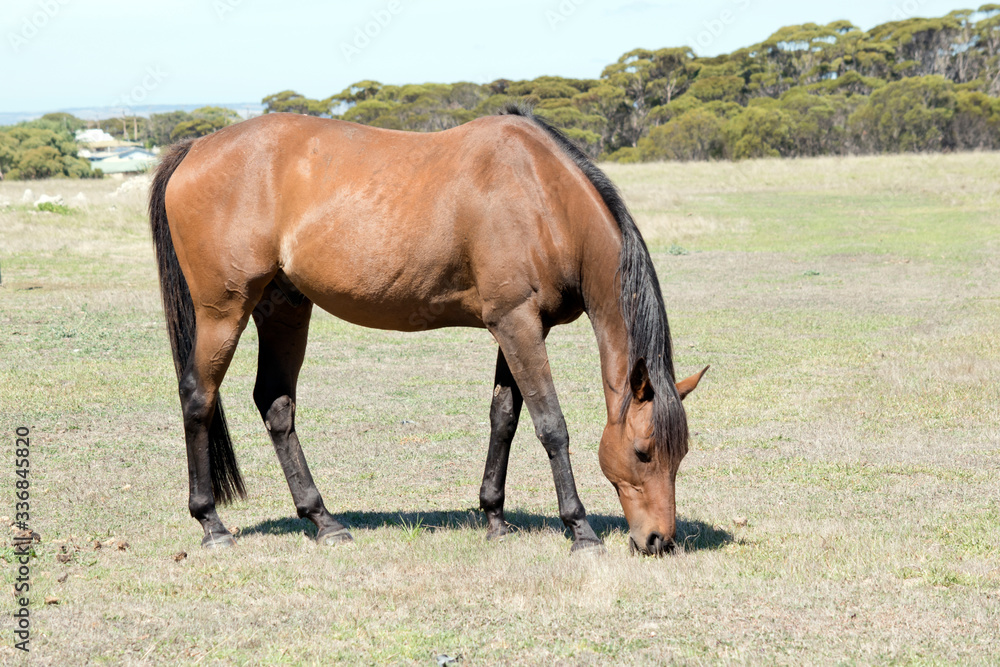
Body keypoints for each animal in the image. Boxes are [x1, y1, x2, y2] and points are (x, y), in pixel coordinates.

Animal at [148, 104, 706, 556]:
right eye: (643, 452)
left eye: (680, 454)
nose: (659, 540)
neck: (542, 196)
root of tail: (194, 147)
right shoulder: (517, 323)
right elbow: (551, 425)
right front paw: (581, 530)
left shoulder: (519, 326)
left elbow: (504, 418)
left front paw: (494, 518)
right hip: (223, 311)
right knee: (198, 397)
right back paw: (212, 523)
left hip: (284, 307)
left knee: (275, 404)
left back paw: (324, 521)